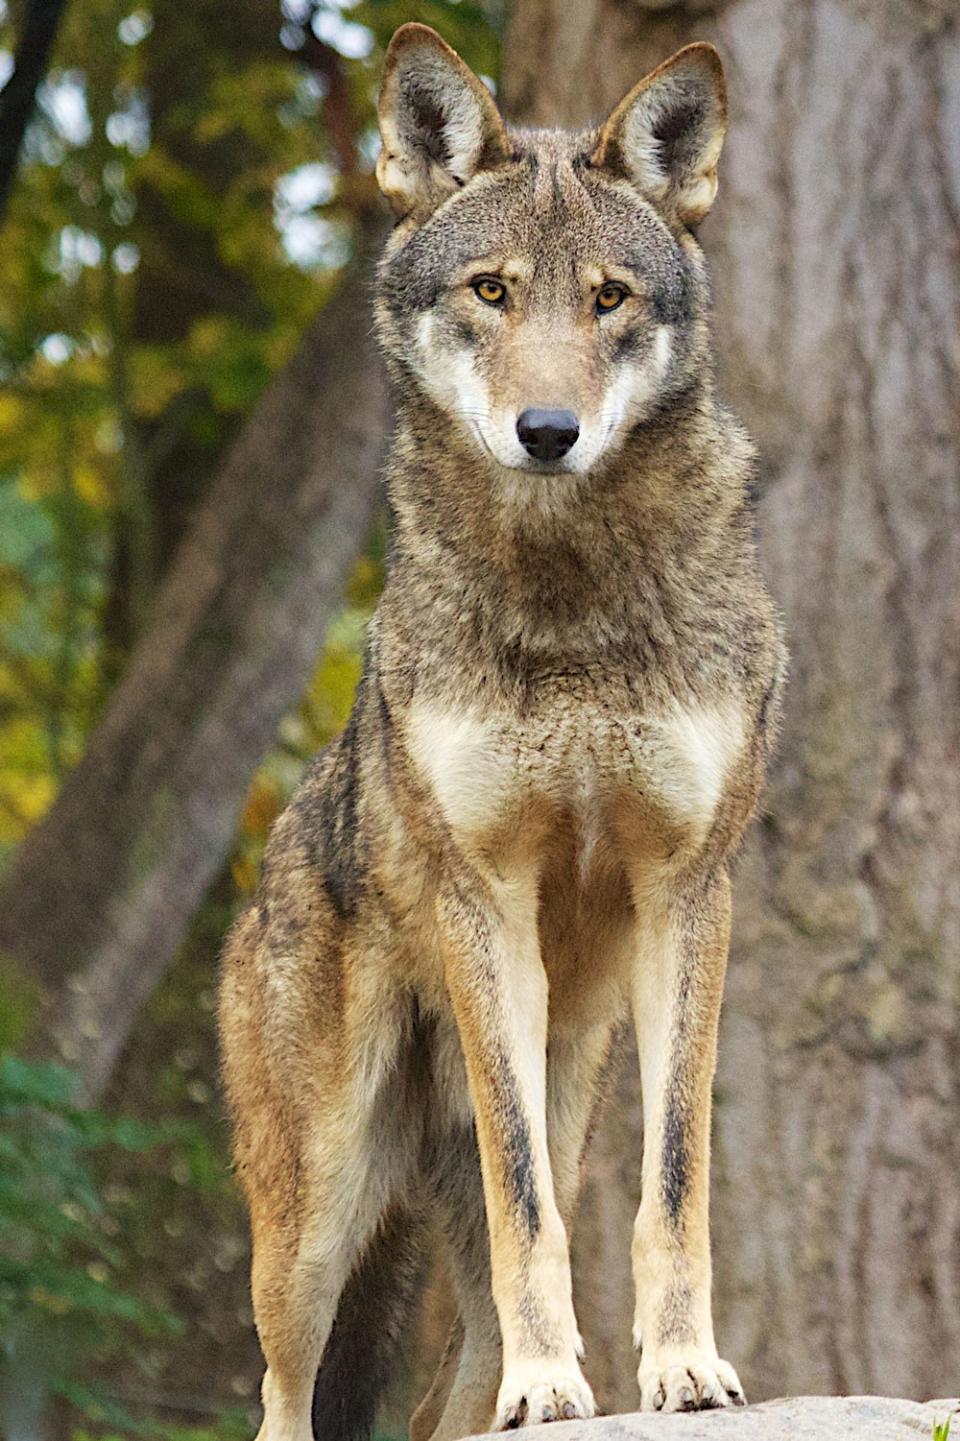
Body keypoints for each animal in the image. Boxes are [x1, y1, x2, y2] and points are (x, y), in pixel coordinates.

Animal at [219, 22, 784, 1441]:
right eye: (490, 291)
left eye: (608, 301)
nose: (547, 432)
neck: (568, 595)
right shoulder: (487, 902)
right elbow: (526, 1193)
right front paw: (557, 1380)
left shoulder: (692, 891)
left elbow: (676, 1180)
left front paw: (684, 1369)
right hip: (312, 1225)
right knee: (282, 1394)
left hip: (539, 1125)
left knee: (451, 1387)